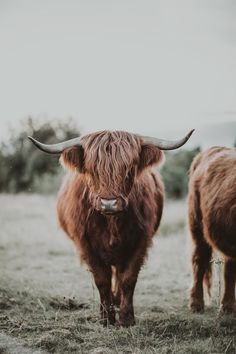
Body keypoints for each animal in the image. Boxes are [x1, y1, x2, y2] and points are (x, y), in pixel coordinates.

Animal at [28, 129, 194, 324]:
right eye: (92, 169)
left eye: (129, 168)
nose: (109, 203)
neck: (111, 223)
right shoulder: (86, 245)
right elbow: (102, 280)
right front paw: (106, 318)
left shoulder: (140, 242)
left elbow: (128, 279)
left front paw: (126, 318)